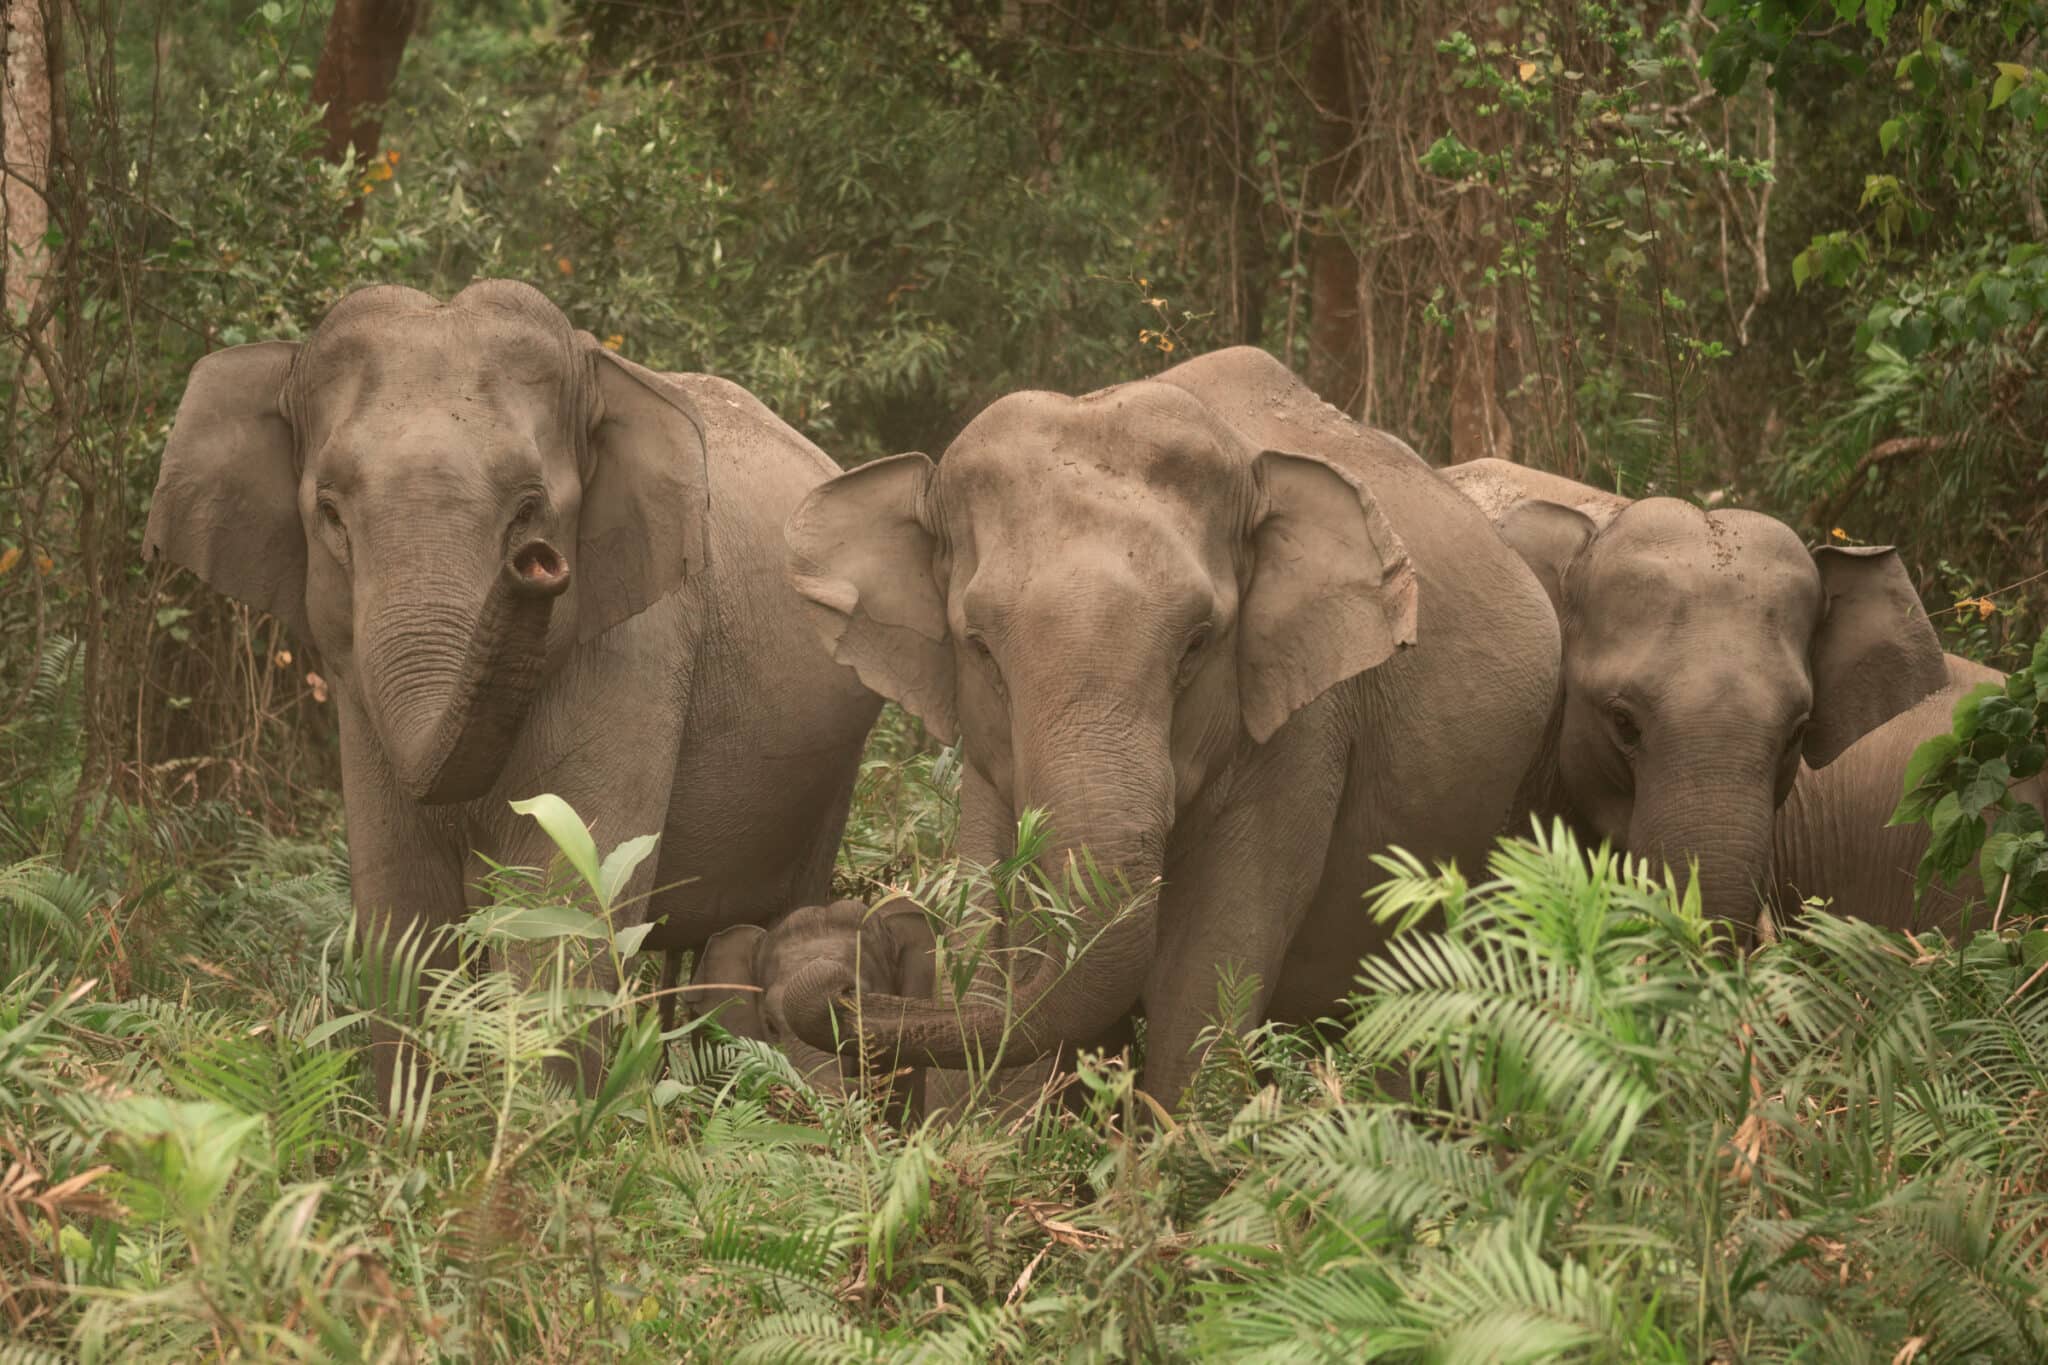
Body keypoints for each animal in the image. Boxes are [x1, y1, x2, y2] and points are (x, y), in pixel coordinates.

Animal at [144, 280, 881, 1101]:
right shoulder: (354, 684)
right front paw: (416, 1113)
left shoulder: (642, 639)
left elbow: (567, 892)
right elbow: (400, 895)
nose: (536, 564)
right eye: (329, 512)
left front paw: (543, 1119)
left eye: (530, 509)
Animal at [776, 346, 1562, 1106]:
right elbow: (1004, 909)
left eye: (1197, 643)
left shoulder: (1304, 721)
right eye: (980, 647)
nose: (834, 978)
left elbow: (1206, 962)